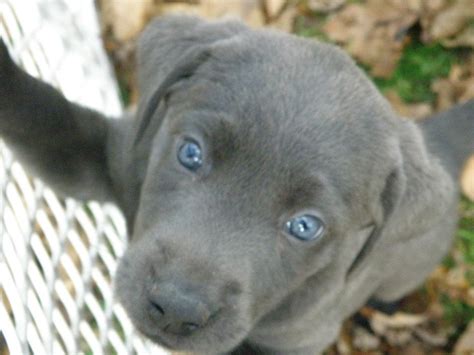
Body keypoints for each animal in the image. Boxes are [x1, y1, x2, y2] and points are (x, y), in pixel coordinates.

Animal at [0, 15, 474, 354]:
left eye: (305, 226)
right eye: (190, 153)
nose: (175, 309)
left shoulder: (297, 338)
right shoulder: (114, 155)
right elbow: (44, 115)